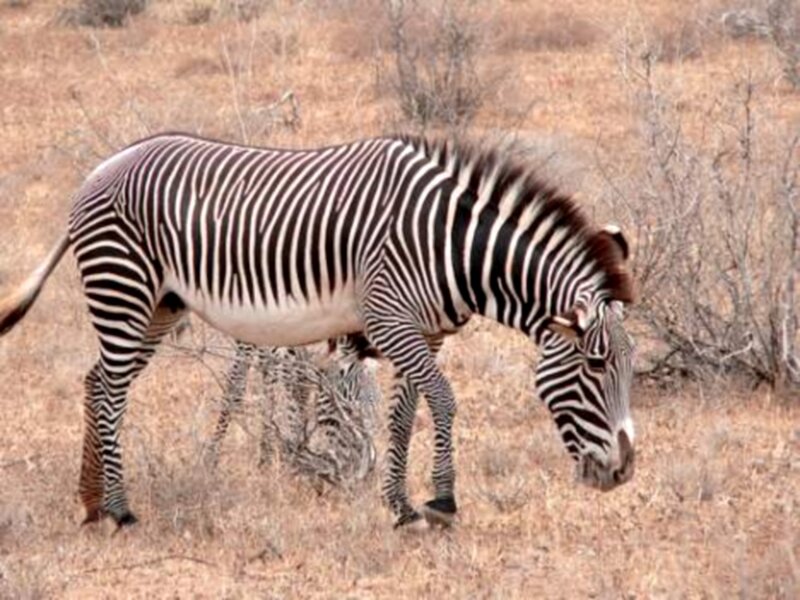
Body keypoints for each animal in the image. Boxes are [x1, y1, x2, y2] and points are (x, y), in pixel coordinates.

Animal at [0, 133, 635, 529]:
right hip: (124, 287)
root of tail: (101, 167)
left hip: (159, 304)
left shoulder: (422, 331)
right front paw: (443, 500)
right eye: (595, 366)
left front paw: (401, 507)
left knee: (96, 382)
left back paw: (91, 504)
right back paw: (122, 509)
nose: (624, 472)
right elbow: (445, 400)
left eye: (630, 367)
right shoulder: (389, 317)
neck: (450, 246)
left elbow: (403, 414)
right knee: (109, 392)